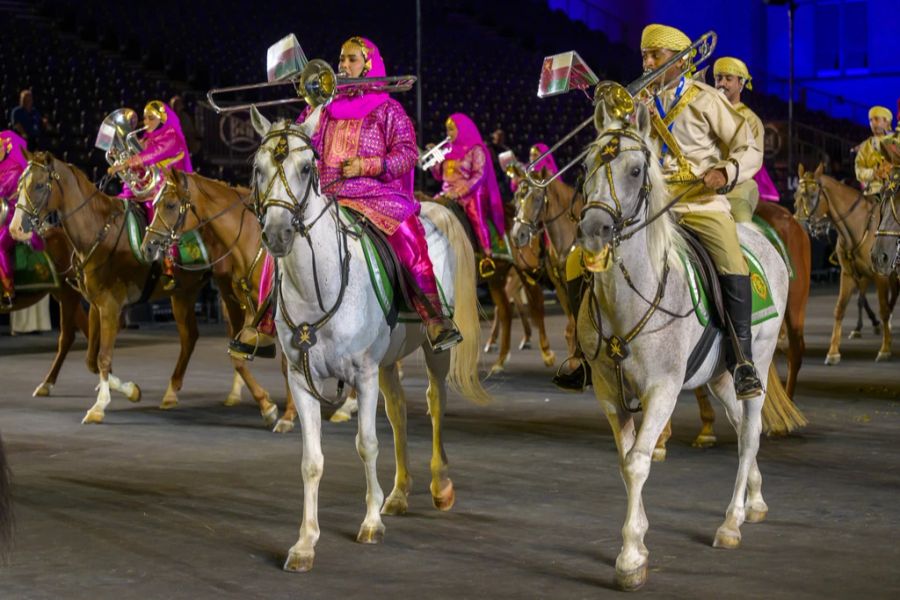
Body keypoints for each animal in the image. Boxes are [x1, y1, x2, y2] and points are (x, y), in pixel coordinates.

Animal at [9, 155, 278, 426]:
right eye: (20, 185)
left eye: (39, 185)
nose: (15, 229)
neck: (99, 231)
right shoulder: (95, 305)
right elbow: (91, 360)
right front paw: (130, 390)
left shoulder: (110, 306)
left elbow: (102, 357)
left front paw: (99, 406)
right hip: (184, 293)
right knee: (190, 337)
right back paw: (171, 393)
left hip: (227, 291)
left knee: (231, 331)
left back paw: (235, 392)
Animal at [138, 171, 302, 434]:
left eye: (171, 205)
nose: (147, 247)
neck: (250, 241)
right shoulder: (252, 311)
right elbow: (237, 359)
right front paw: (267, 407)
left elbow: (287, 365)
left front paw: (288, 414)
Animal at [250, 106, 488, 572]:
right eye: (258, 168)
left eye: (306, 168)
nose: (277, 235)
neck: (319, 284)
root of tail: (430, 209)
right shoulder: (302, 381)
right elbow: (312, 462)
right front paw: (305, 544)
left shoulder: (362, 373)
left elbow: (367, 444)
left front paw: (371, 523)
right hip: (388, 362)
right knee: (398, 413)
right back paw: (397, 493)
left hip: (431, 352)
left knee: (434, 404)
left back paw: (440, 486)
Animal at [576, 104, 788, 592]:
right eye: (585, 166)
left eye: (636, 170)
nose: (594, 230)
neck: (630, 298)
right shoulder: (609, 394)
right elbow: (625, 461)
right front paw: (640, 545)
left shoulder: (663, 390)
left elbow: (637, 463)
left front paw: (629, 559)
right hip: (721, 376)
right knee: (738, 424)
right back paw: (755, 500)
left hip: (759, 361)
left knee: (750, 432)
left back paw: (731, 522)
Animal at [792, 162, 896, 364]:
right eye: (796, 196)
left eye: (812, 195)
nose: (797, 224)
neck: (859, 226)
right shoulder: (848, 274)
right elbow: (840, 309)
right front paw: (833, 352)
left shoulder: (880, 275)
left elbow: (884, 309)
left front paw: (885, 349)